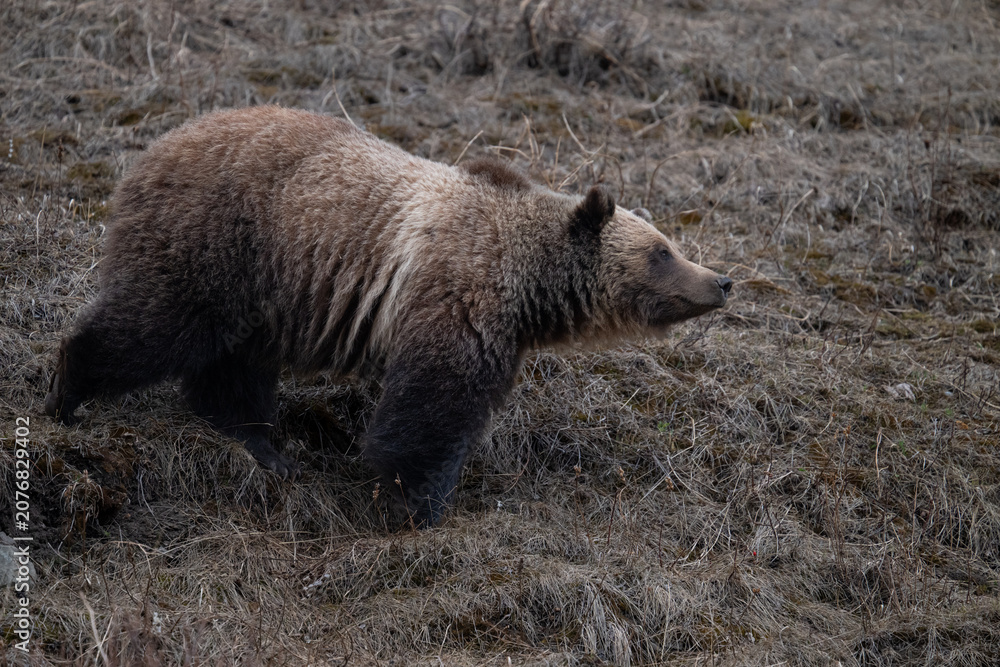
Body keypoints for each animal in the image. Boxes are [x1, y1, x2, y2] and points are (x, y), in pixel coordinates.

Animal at [44, 106, 732, 526]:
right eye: (662, 250)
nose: (721, 280)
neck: (524, 282)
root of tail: (152, 150)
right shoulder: (456, 298)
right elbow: (428, 409)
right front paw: (416, 502)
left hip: (257, 294)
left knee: (232, 368)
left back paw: (265, 447)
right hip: (219, 245)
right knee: (150, 328)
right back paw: (67, 394)